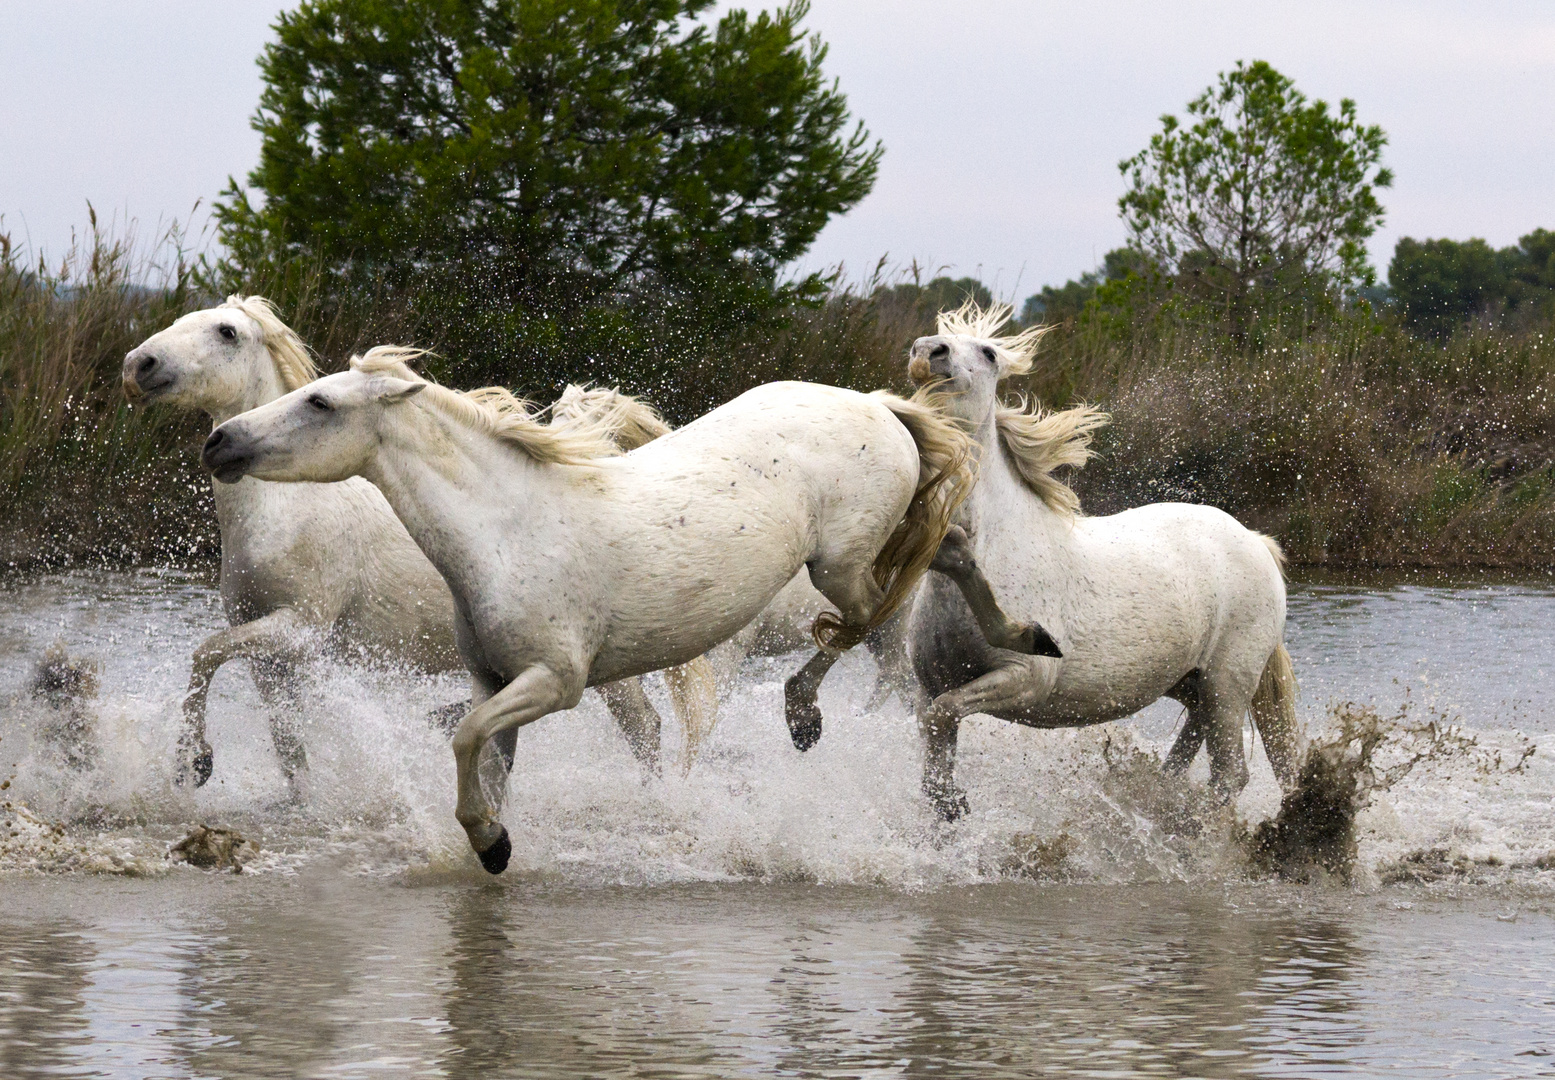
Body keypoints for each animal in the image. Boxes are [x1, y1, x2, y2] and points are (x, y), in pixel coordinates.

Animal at [121, 299, 715, 789]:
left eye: (225, 331)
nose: (137, 366)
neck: (285, 511)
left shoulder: (300, 627)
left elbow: (204, 653)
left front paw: (193, 764)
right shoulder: (270, 654)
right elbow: (287, 746)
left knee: (643, 726)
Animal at [197, 351, 1044, 876]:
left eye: (319, 401)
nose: (219, 441)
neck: (507, 530)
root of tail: (875, 405)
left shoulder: (555, 682)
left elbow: (463, 740)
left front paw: (491, 842)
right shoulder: (493, 680)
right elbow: (484, 759)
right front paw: (492, 847)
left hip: (840, 566)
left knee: (867, 621)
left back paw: (807, 716)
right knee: (953, 555)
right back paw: (1027, 638)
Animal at [895, 301, 1306, 820]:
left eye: (988, 352)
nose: (928, 352)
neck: (991, 551)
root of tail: (1256, 540)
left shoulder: (1026, 678)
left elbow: (943, 716)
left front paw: (958, 804)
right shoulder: (930, 684)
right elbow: (935, 749)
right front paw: (948, 809)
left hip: (1228, 682)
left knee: (1229, 775)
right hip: (1190, 681)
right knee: (1191, 744)